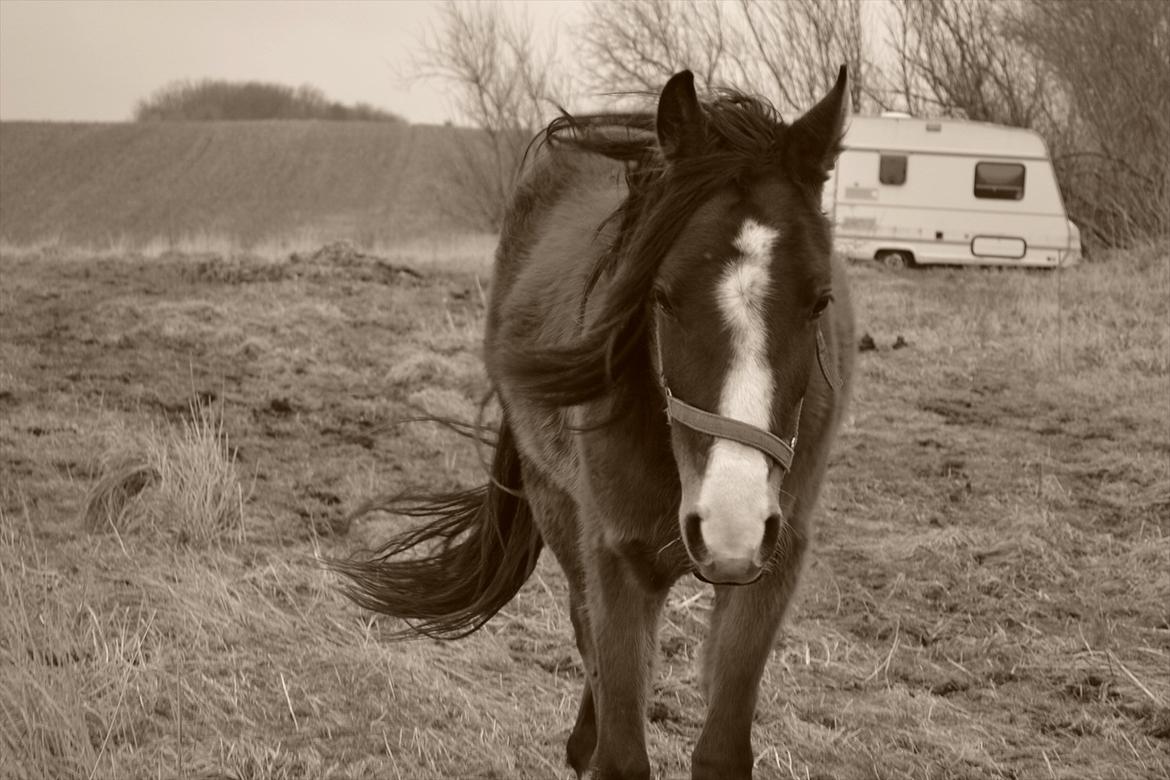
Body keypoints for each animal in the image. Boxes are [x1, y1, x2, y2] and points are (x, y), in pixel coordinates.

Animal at [334, 68, 856, 780]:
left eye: (820, 302)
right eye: (661, 296)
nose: (730, 522)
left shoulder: (771, 568)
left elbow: (721, 747)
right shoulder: (616, 560)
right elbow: (619, 745)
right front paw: (596, 744)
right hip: (559, 511)